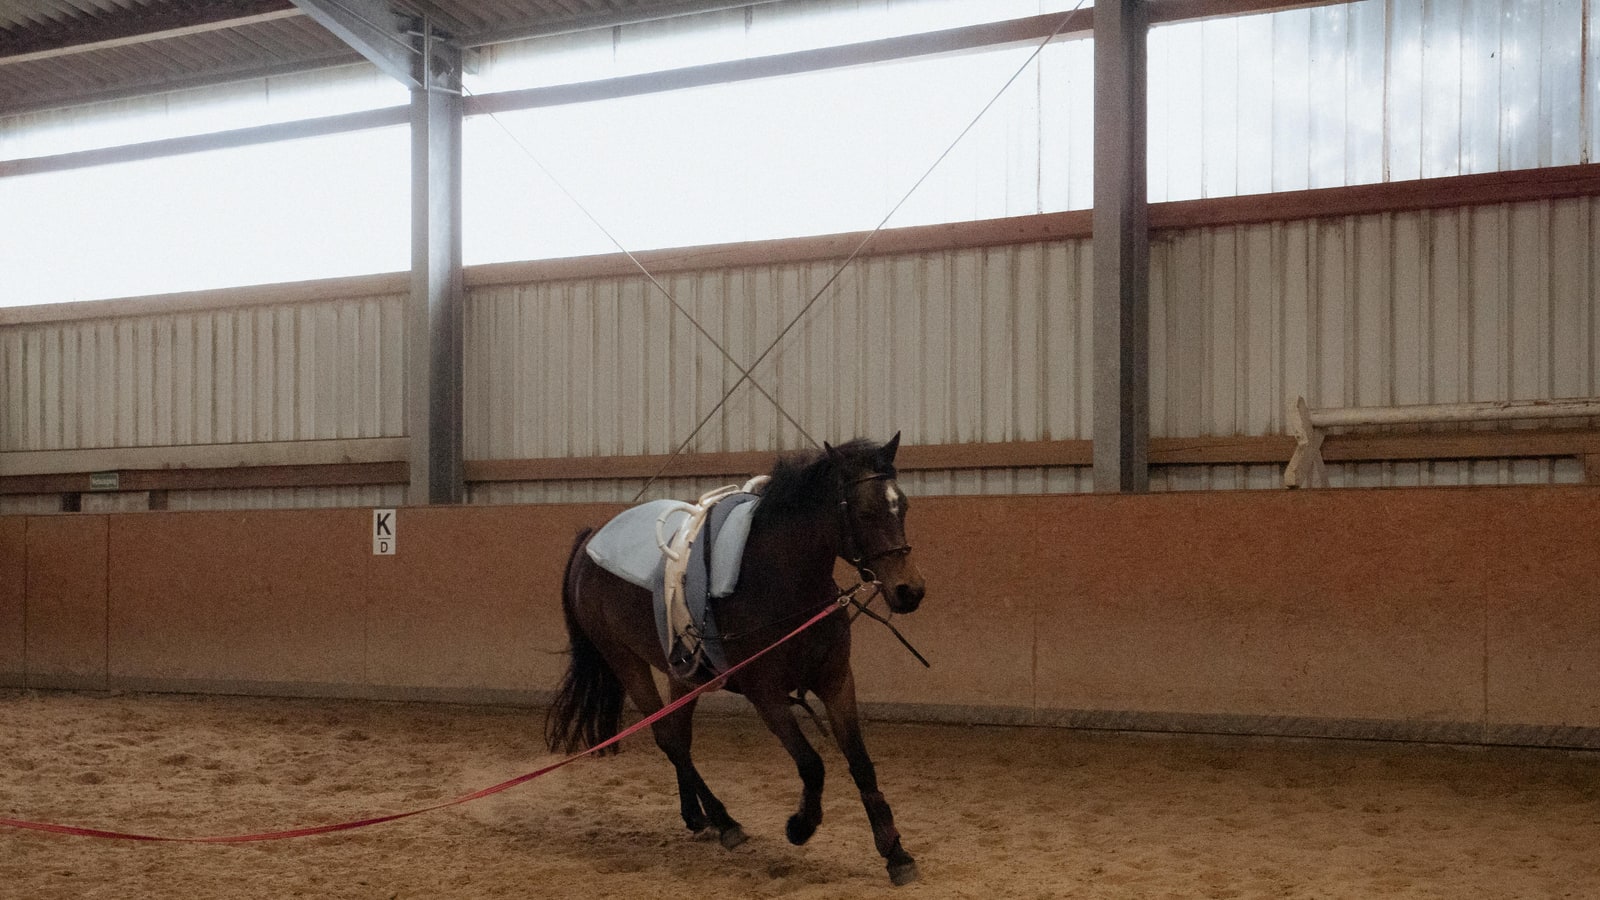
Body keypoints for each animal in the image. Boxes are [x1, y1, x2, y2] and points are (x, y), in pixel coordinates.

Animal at [546, 434, 927, 885]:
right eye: (865, 512)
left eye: (903, 507)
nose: (910, 591)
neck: (781, 581)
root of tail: (591, 539)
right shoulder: (765, 694)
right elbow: (812, 764)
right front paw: (800, 827)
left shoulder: (836, 681)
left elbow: (861, 763)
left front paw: (896, 852)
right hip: (625, 661)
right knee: (669, 739)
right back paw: (724, 821)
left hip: (684, 673)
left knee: (680, 738)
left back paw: (699, 816)